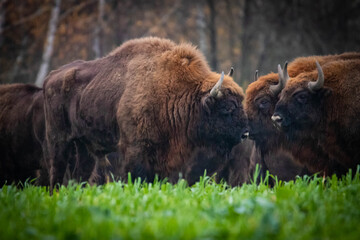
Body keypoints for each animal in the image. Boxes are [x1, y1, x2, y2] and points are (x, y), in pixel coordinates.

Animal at [43, 37, 249, 189]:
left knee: (80, 174)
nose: (245, 133)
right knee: (56, 170)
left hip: (84, 146)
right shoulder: (135, 149)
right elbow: (137, 177)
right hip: (58, 141)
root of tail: (50, 77)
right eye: (227, 108)